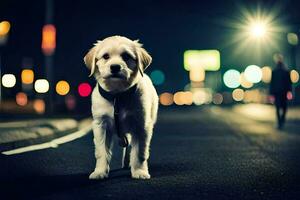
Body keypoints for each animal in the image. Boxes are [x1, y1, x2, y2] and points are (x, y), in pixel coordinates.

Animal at [83, 36, 158, 180]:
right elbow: (101, 151)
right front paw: (100, 171)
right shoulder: (100, 124)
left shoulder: (142, 125)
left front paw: (139, 171)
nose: (115, 67)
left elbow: (140, 152)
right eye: (106, 56)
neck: (117, 96)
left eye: (126, 56)